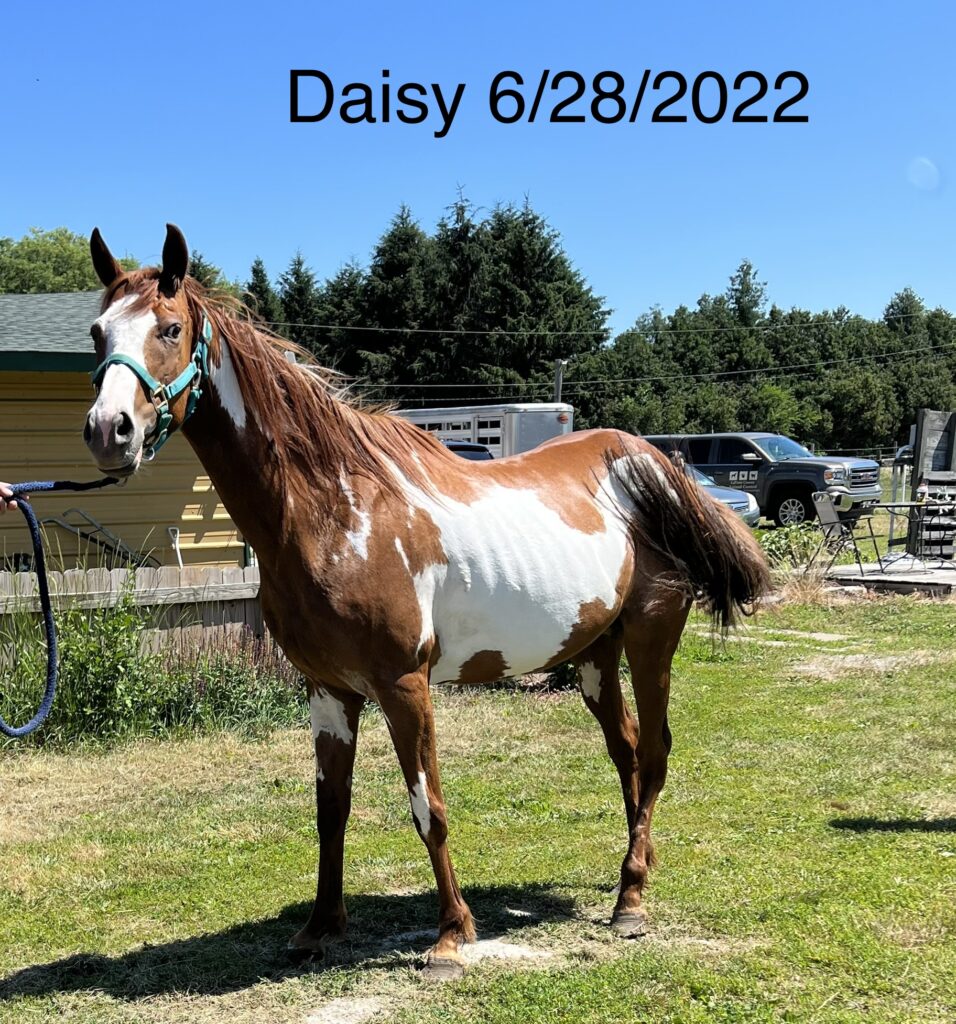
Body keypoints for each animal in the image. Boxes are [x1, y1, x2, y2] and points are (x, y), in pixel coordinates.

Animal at [83, 224, 771, 980]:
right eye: (97, 333)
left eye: (171, 328)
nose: (109, 431)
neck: (332, 512)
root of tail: (656, 466)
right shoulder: (329, 690)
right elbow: (331, 810)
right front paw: (320, 927)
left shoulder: (404, 685)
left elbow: (427, 807)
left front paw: (449, 936)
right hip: (594, 653)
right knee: (626, 753)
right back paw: (631, 873)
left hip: (650, 643)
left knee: (654, 753)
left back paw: (631, 904)